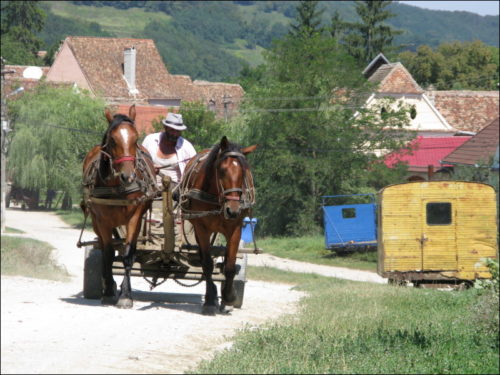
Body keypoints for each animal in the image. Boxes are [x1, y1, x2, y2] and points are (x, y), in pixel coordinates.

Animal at [81, 105, 157, 308]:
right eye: (113, 139)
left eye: (136, 138)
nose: (128, 176)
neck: (117, 186)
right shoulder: (102, 220)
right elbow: (107, 254)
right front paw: (108, 291)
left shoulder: (135, 217)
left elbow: (128, 253)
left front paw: (126, 295)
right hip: (95, 221)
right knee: (103, 247)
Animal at [180, 137, 258, 316]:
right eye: (222, 170)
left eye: (244, 172)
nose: (233, 209)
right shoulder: (201, 228)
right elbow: (208, 264)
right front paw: (209, 300)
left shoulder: (235, 229)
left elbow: (229, 267)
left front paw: (228, 298)